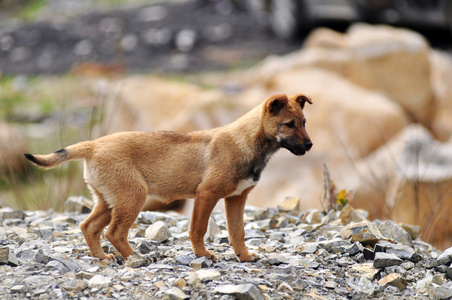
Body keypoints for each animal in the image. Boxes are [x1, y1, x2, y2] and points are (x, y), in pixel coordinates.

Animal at [24, 94, 312, 262]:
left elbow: (237, 232)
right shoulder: (206, 194)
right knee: (114, 233)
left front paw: (244, 256)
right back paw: (136, 258)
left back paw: (103, 258)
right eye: (288, 125)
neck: (249, 143)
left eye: (304, 122)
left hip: (109, 201)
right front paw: (202, 255)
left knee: (89, 227)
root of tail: (93, 144)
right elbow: (198, 229)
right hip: (133, 197)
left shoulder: (236, 198)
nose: (309, 146)